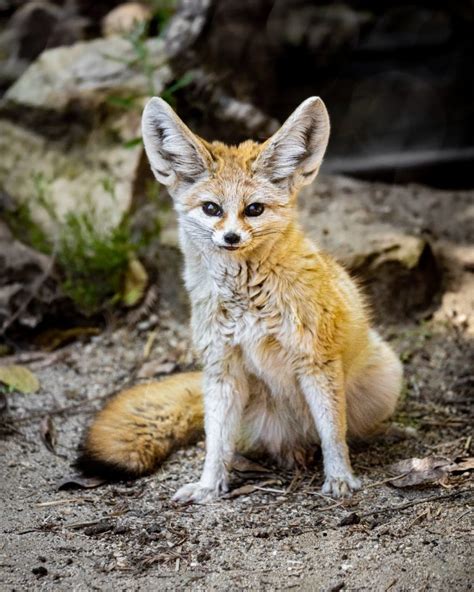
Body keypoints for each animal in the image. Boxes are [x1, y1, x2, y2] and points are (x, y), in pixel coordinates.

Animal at [78, 96, 404, 500]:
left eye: (254, 210)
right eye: (211, 208)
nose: (231, 237)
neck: (247, 302)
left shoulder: (316, 361)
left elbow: (332, 432)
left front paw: (340, 477)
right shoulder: (223, 367)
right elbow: (217, 444)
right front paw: (208, 486)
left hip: (384, 380)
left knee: (335, 431)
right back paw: (289, 454)